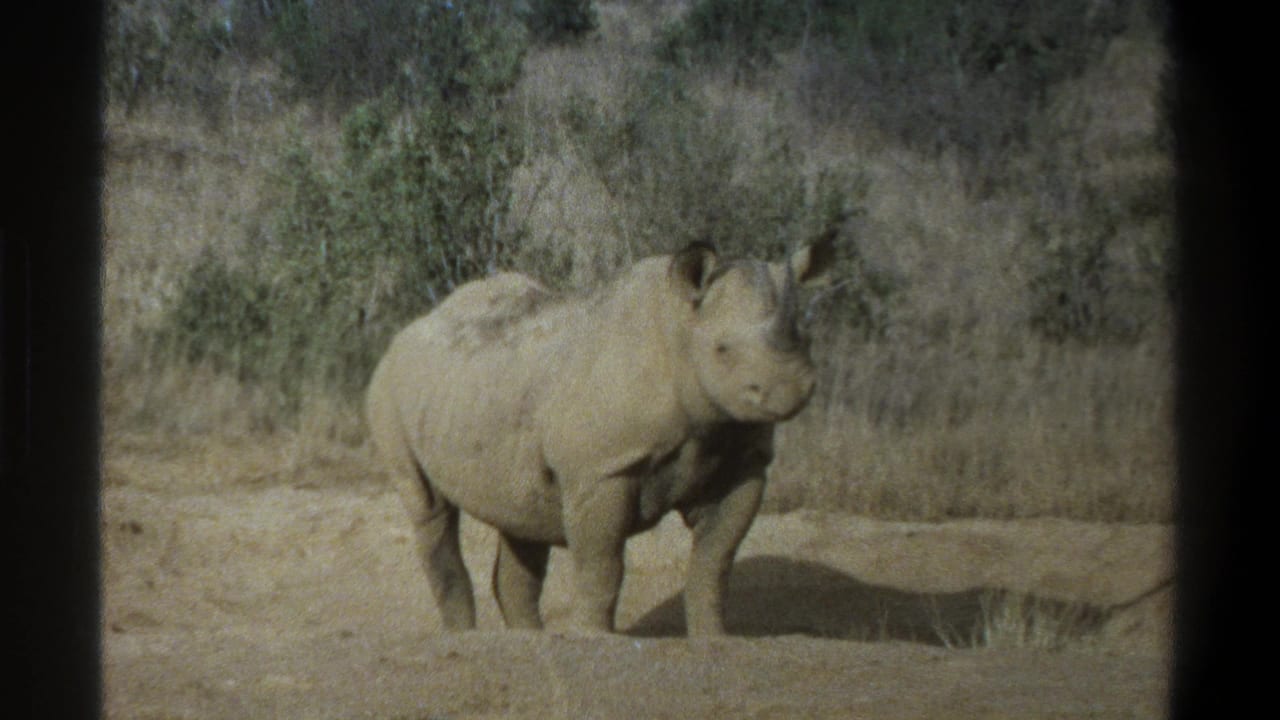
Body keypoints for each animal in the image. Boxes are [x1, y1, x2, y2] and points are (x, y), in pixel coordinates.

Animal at [366, 235, 834, 635]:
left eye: (806, 339)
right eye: (722, 349)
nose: (792, 389)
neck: (681, 331)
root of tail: (406, 332)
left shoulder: (743, 460)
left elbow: (714, 563)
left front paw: (714, 640)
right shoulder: (602, 469)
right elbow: (603, 565)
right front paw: (593, 638)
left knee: (521, 515)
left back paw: (529, 640)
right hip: (390, 388)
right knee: (430, 507)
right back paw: (465, 637)